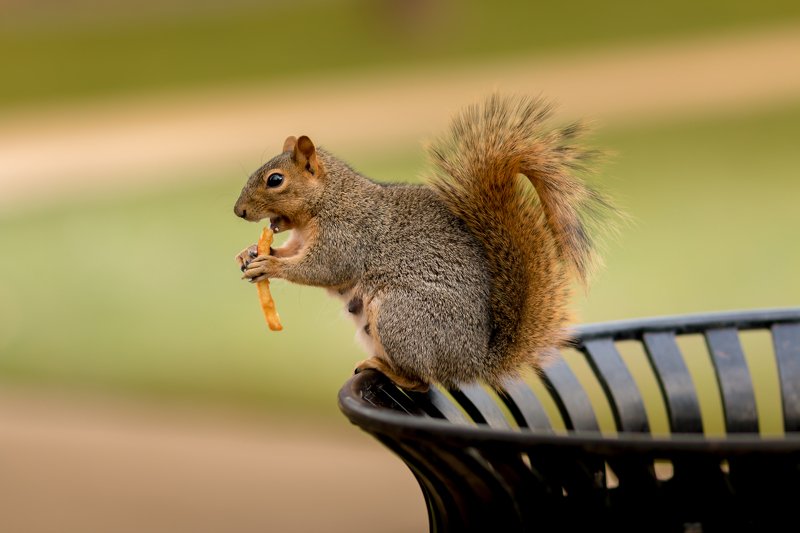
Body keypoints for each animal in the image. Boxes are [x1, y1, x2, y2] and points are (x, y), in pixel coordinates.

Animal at [234, 95, 614, 392]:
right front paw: (250, 253)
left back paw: (386, 369)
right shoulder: (303, 238)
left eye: (275, 180)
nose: (238, 211)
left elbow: (323, 268)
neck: (327, 200)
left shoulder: (349, 234)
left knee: (423, 380)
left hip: (400, 317)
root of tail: (472, 361)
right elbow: (294, 252)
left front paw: (270, 264)